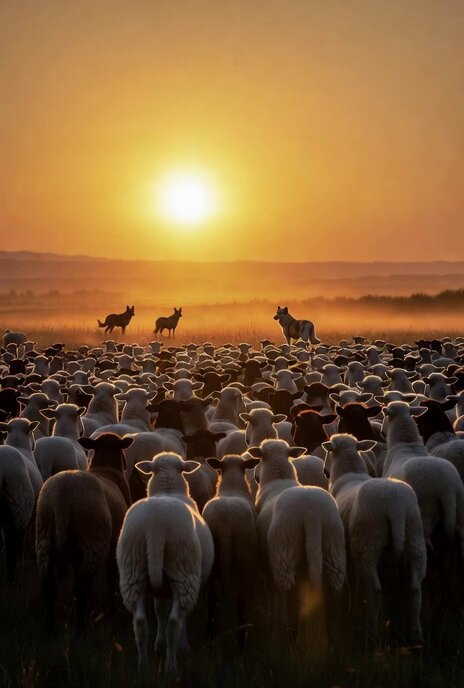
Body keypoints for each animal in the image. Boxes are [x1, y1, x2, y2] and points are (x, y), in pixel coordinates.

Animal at [36, 433, 133, 631]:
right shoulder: (114, 544)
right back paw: (82, 628)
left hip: (45, 537)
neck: (106, 468)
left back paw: (51, 629)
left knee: (48, 586)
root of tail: (62, 499)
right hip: (91, 539)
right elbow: (111, 578)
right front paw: (111, 611)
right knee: (82, 586)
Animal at [116, 453, 214, 676]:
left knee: (140, 623)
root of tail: (155, 528)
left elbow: (159, 610)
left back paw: (143, 668)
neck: (168, 490)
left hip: (133, 572)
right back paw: (171, 668)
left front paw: (158, 646)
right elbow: (176, 618)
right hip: (183, 573)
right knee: (174, 623)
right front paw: (181, 648)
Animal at [203, 454, 260, 647]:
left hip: (212, 564)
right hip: (245, 560)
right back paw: (242, 643)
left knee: (212, 600)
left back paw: (210, 639)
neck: (231, 487)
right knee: (240, 603)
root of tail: (225, 524)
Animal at [323, 434, 426, 643]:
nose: (325, 471)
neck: (349, 473)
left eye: (328, 453)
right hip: (414, 540)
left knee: (375, 590)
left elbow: (352, 585)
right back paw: (415, 634)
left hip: (367, 545)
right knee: (415, 590)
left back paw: (370, 633)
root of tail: (396, 506)